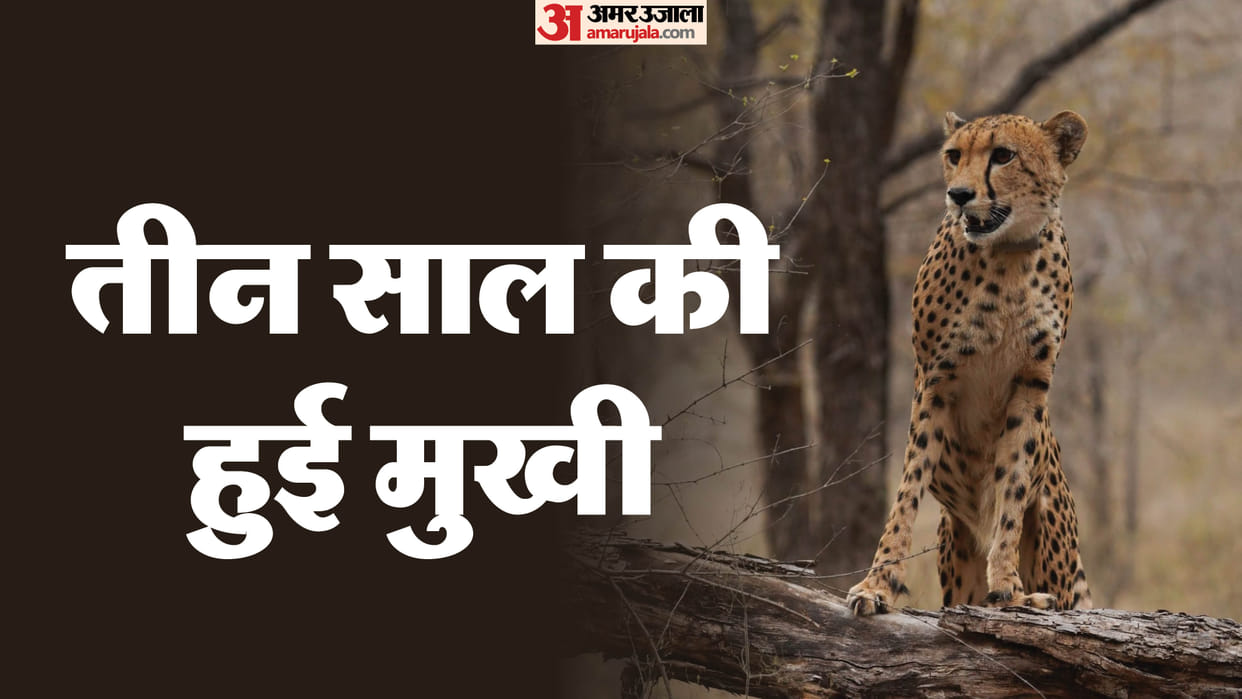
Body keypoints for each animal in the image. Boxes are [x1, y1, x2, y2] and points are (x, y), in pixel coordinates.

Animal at [846, 110, 1093, 615]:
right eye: (953, 155)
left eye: (1003, 155)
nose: (958, 194)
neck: (1009, 253)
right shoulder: (935, 380)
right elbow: (906, 492)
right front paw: (877, 585)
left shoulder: (1030, 386)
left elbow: (1010, 489)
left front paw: (1009, 590)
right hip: (953, 545)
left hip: (1057, 546)